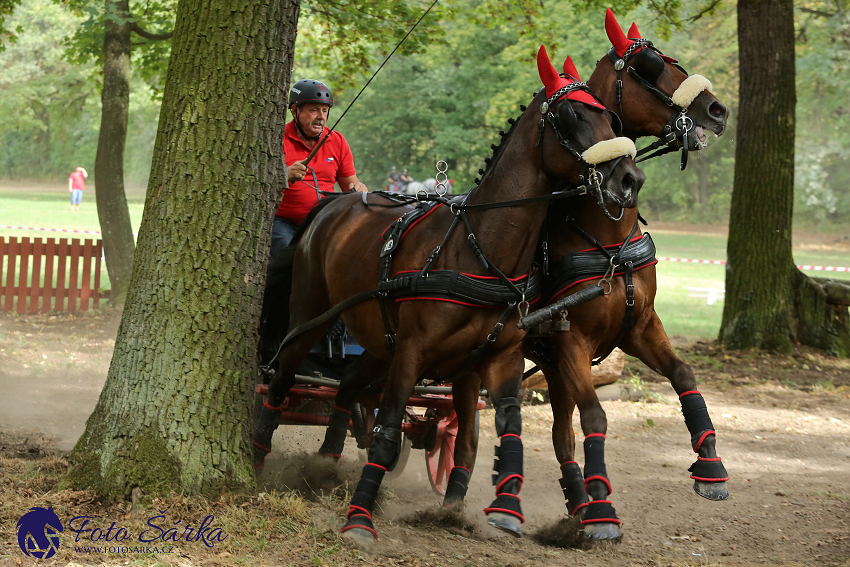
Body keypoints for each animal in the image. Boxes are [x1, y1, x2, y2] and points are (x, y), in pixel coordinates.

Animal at [252, 47, 644, 544]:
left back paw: (325, 466)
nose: (630, 178)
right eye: (572, 115)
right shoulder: (411, 354)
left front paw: (503, 509)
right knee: (282, 380)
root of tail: (331, 205)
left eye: (610, 117)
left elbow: (504, 427)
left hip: (377, 342)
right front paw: (359, 519)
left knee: (349, 386)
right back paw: (259, 452)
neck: (478, 247)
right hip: (312, 318)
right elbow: (387, 432)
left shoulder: (497, 358)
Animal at [520, 10, 732, 540]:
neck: (608, 243)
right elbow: (595, 415)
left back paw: (576, 504)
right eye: (650, 67)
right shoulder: (570, 341)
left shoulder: (638, 327)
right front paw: (603, 508)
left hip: (549, 367)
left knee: (559, 433)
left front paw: (710, 463)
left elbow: (683, 373)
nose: (717, 110)